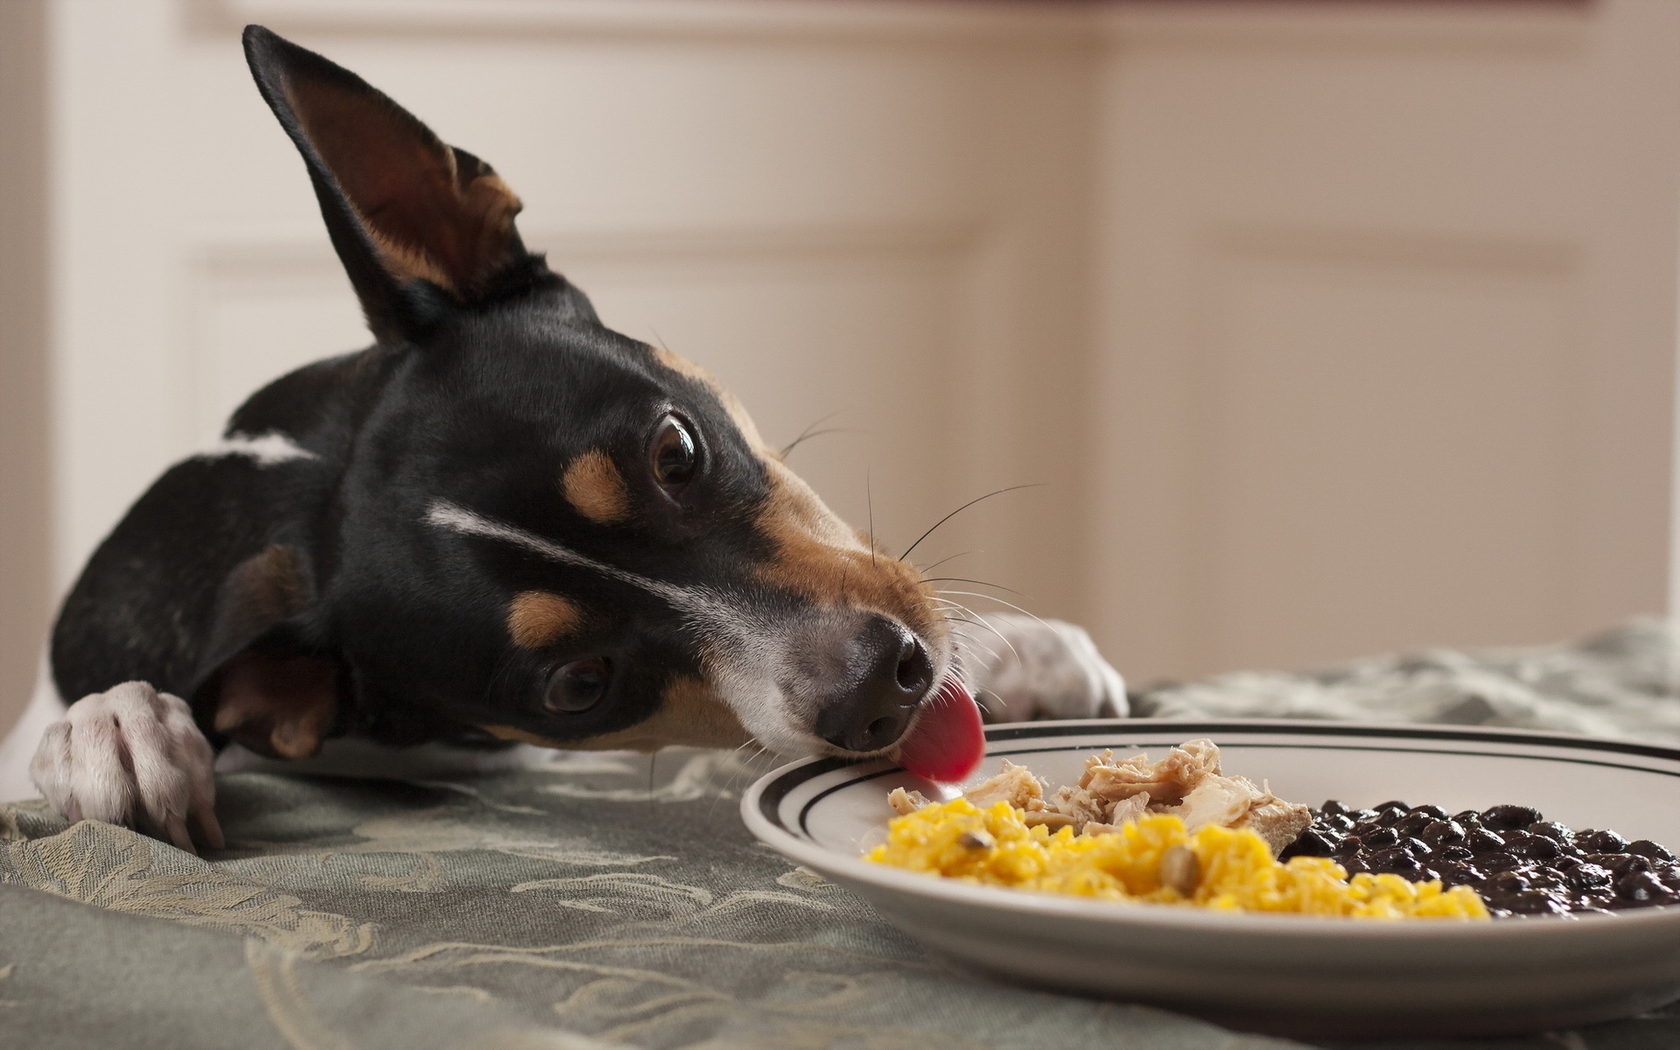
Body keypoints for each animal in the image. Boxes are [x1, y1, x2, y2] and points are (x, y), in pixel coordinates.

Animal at [22, 26, 1128, 853]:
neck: (289, 482)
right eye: (578, 685)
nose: (880, 687)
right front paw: (112, 729)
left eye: (676, 451)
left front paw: (1019, 651)